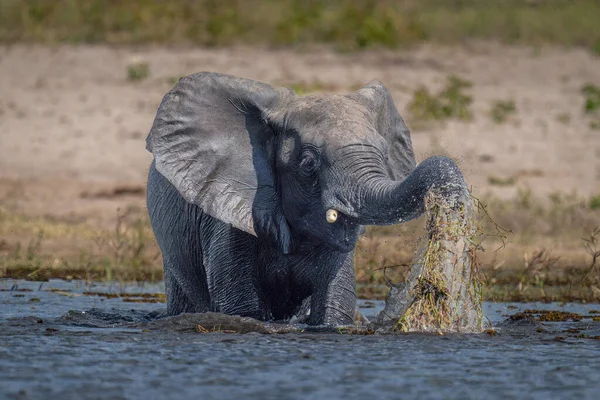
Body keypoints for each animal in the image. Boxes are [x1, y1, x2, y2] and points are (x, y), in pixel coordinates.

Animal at [146, 72, 468, 326]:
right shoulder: (227, 219)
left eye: (384, 154)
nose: (450, 200)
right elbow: (240, 307)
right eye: (309, 164)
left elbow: (335, 307)